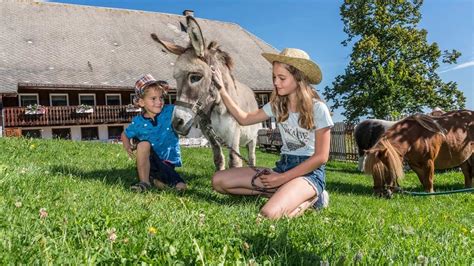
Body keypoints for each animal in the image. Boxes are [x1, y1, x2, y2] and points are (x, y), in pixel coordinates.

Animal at [150, 16, 262, 170]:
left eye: (196, 77)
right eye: (175, 78)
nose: (176, 123)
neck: (217, 107)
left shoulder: (233, 134)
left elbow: (234, 161)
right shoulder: (210, 136)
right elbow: (218, 159)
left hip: (253, 137)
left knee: (252, 156)